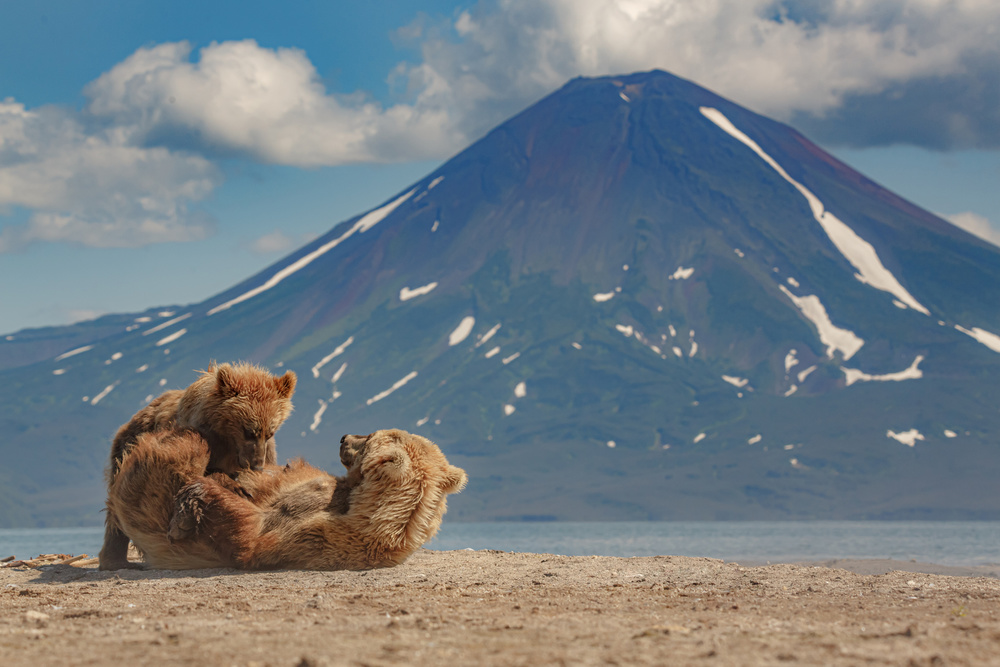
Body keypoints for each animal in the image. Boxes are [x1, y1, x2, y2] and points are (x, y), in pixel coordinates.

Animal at [99, 362, 298, 572]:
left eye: (270, 432)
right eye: (248, 431)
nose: (256, 465)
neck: (228, 441)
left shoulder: (267, 451)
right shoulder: (204, 437)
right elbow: (202, 470)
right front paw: (235, 487)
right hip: (127, 447)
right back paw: (115, 560)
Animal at [107, 430, 466, 572]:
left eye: (368, 436)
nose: (344, 437)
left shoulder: (310, 537)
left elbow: (247, 533)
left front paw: (190, 507)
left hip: (145, 489)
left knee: (182, 449)